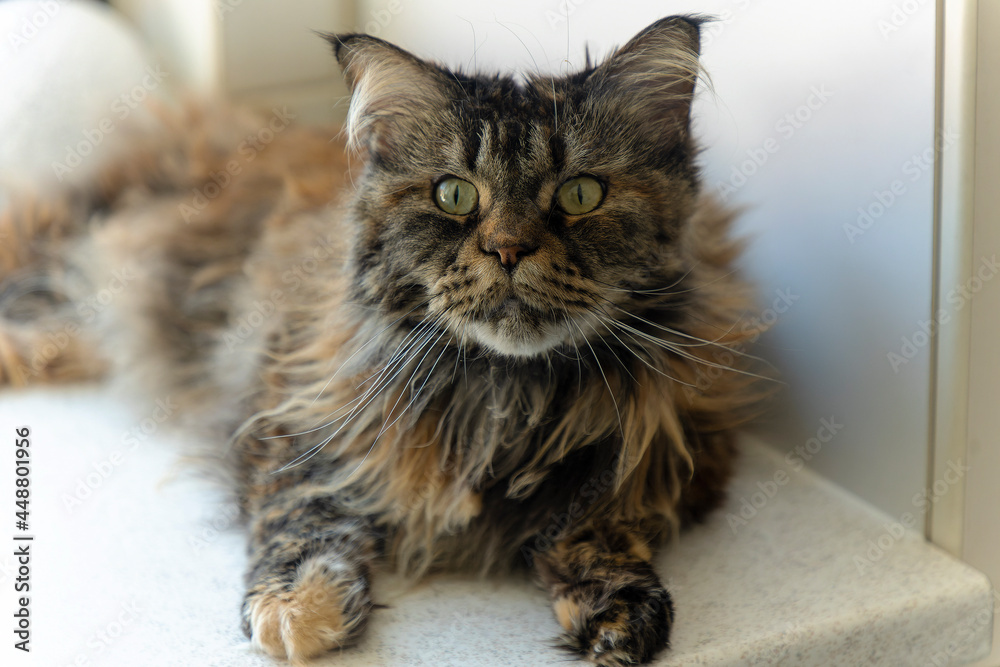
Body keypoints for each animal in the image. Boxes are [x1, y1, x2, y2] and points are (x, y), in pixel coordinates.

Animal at [0, 11, 764, 667]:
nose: (509, 249)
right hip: (78, 246)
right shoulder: (291, 402)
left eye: (581, 195)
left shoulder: (679, 446)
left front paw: (617, 604)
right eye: (455, 195)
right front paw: (300, 607)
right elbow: (302, 508)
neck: (503, 396)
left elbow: (596, 516)